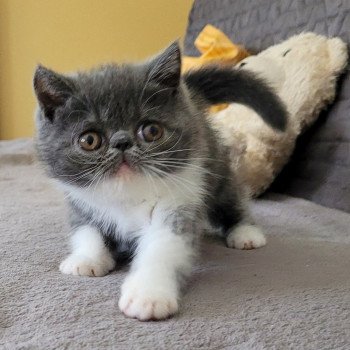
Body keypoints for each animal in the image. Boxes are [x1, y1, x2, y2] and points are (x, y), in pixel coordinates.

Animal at [33, 41, 288, 320]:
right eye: (89, 140)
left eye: (151, 131)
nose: (122, 142)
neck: (127, 196)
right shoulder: (80, 202)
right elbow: (86, 230)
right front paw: (87, 259)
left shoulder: (179, 201)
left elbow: (163, 246)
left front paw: (148, 294)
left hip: (215, 166)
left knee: (230, 197)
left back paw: (245, 232)